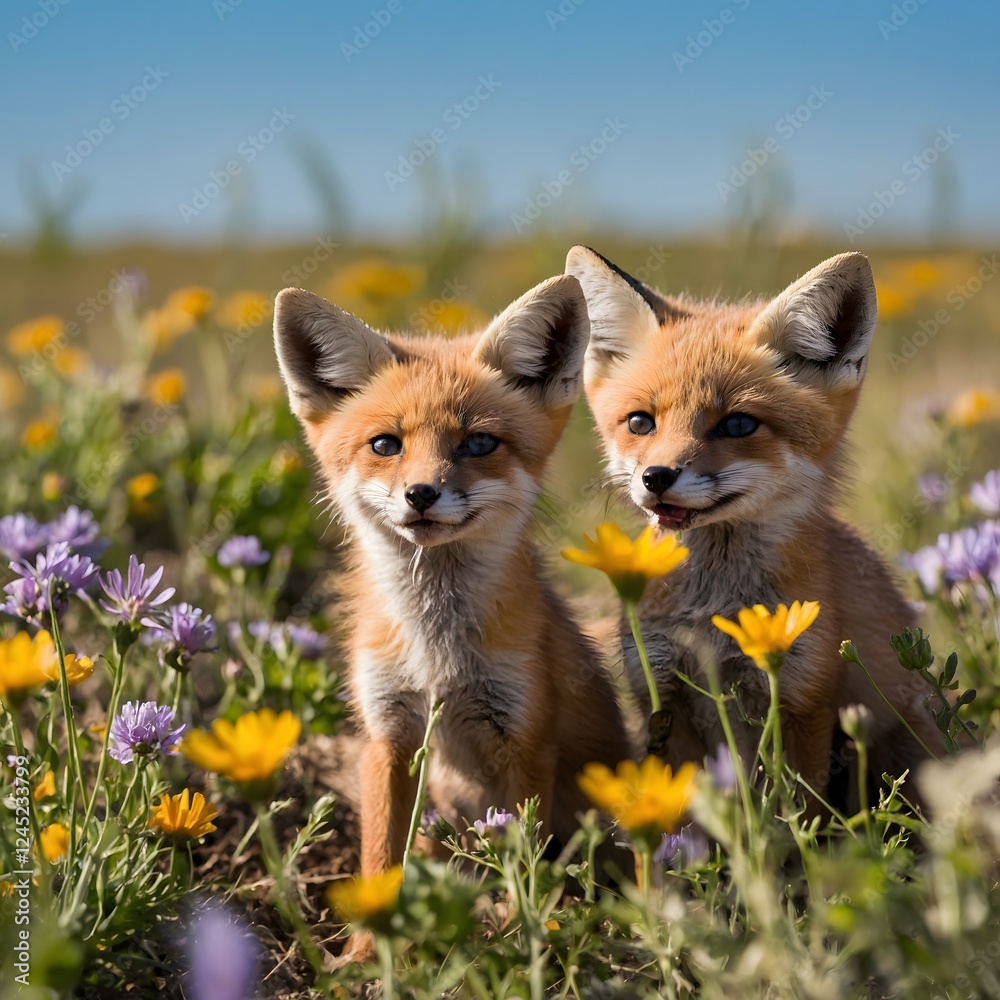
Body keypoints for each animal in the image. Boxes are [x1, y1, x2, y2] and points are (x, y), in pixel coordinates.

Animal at [273, 274, 631, 964]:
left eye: (479, 443)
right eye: (386, 444)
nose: (421, 493)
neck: (437, 652)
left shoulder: (523, 739)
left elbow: (522, 861)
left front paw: (520, 939)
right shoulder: (387, 737)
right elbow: (380, 858)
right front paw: (365, 957)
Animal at [565, 245, 938, 804]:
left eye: (738, 424)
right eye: (640, 422)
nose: (656, 477)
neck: (712, 613)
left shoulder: (799, 700)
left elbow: (794, 814)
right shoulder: (662, 697)